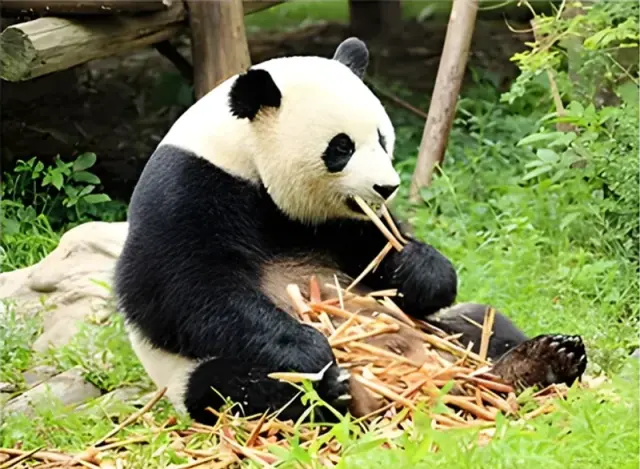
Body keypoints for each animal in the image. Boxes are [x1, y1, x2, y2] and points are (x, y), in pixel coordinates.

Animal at [114, 38, 582, 425]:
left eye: (382, 138)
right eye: (341, 147)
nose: (387, 187)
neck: (243, 154)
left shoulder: (339, 222)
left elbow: (380, 253)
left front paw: (422, 269)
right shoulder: (187, 190)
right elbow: (182, 291)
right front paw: (308, 347)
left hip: (443, 331)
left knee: (482, 324)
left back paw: (541, 361)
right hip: (191, 376)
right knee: (233, 386)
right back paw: (330, 388)